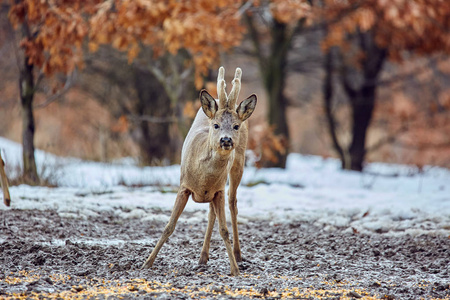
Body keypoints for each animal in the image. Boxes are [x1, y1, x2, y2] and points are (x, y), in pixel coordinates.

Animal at [142, 66, 256, 276]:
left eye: (235, 126)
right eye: (216, 125)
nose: (226, 139)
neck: (204, 178)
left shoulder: (219, 190)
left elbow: (224, 230)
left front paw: (235, 270)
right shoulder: (184, 186)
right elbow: (169, 226)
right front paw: (147, 263)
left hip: (239, 164)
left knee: (233, 203)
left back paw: (237, 255)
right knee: (211, 212)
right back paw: (203, 257)